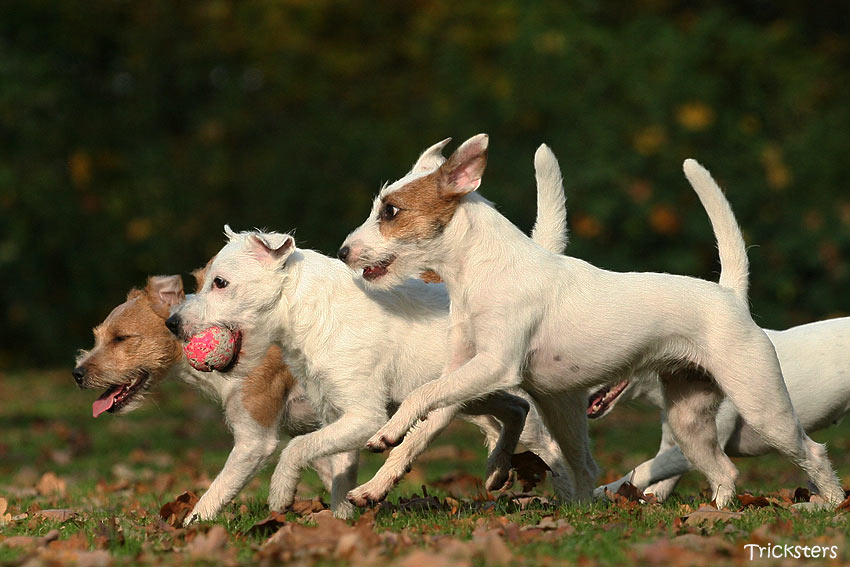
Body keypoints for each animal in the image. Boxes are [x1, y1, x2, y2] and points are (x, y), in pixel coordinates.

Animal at [338, 135, 840, 508]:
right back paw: (715, 514)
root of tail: (729, 294)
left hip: (763, 406)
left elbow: (420, 397)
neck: (482, 270)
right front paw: (374, 487)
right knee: (723, 471)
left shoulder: (493, 367)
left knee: (812, 452)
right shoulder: (462, 374)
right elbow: (420, 432)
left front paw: (386, 430)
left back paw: (830, 507)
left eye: (390, 212)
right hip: (686, 421)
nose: (343, 251)